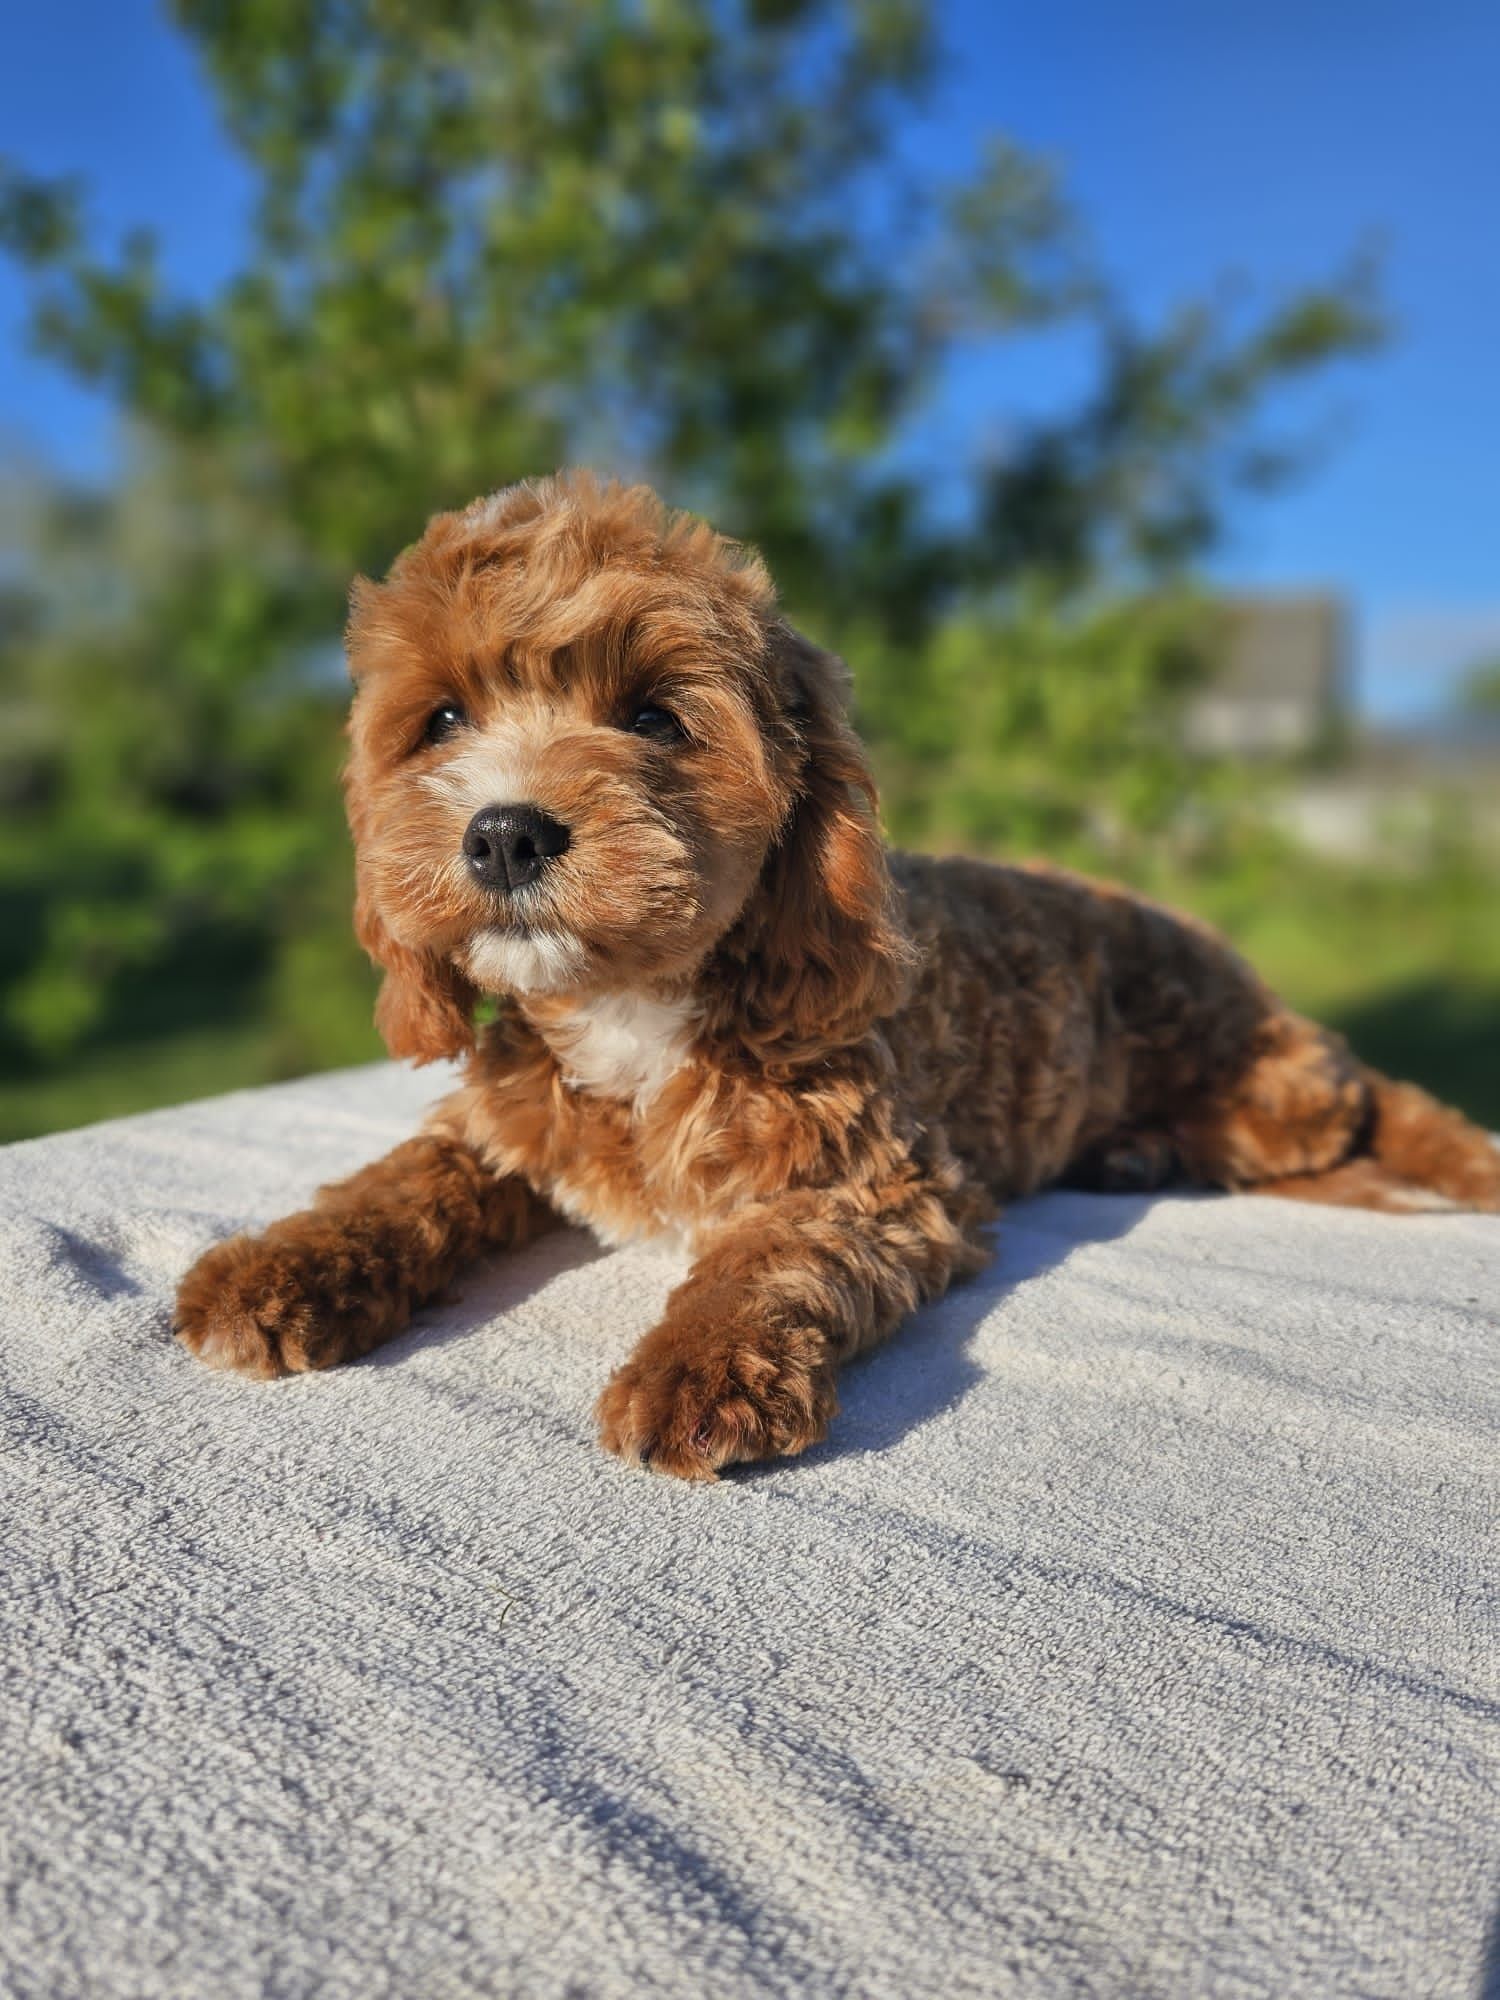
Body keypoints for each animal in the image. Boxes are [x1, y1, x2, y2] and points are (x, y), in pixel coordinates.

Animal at [176, 468, 1500, 1472]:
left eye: (654, 717)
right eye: (443, 719)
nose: (504, 832)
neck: (637, 1005)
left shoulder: (876, 1177)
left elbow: (774, 1252)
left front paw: (699, 1363)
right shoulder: (508, 1118)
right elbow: (403, 1177)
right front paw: (279, 1264)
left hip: (1266, 1085)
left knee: (1349, 1105)